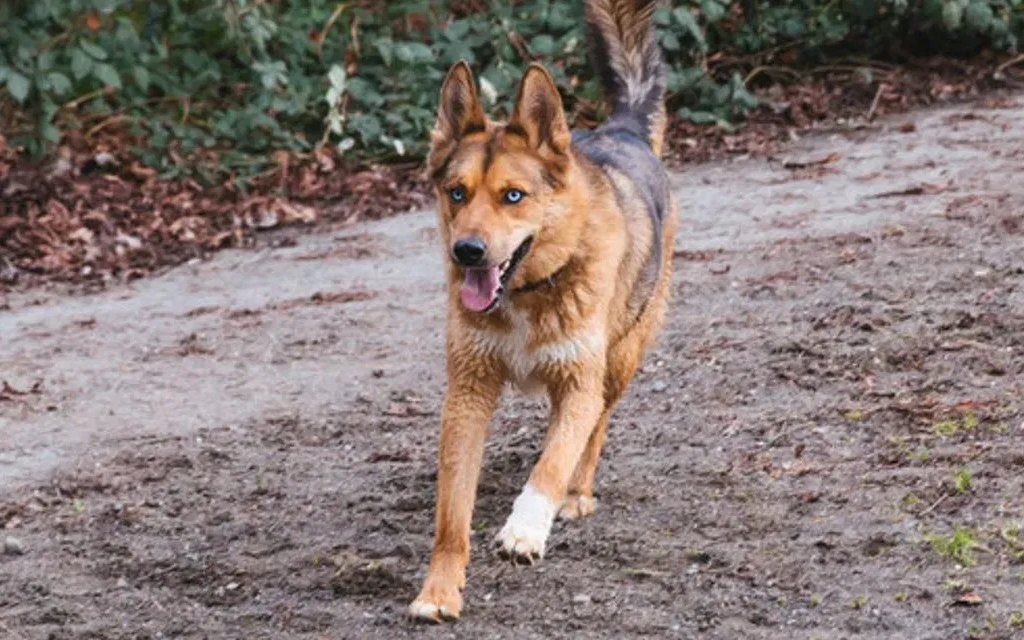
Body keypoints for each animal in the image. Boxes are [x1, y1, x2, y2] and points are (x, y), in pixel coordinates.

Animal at [407, 0, 671, 618]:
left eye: (513, 196)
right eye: (456, 193)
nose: (467, 251)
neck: (527, 293)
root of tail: (621, 130)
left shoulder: (580, 384)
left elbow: (551, 464)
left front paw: (526, 527)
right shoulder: (467, 395)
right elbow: (451, 514)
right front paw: (439, 589)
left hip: (618, 363)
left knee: (591, 434)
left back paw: (574, 495)